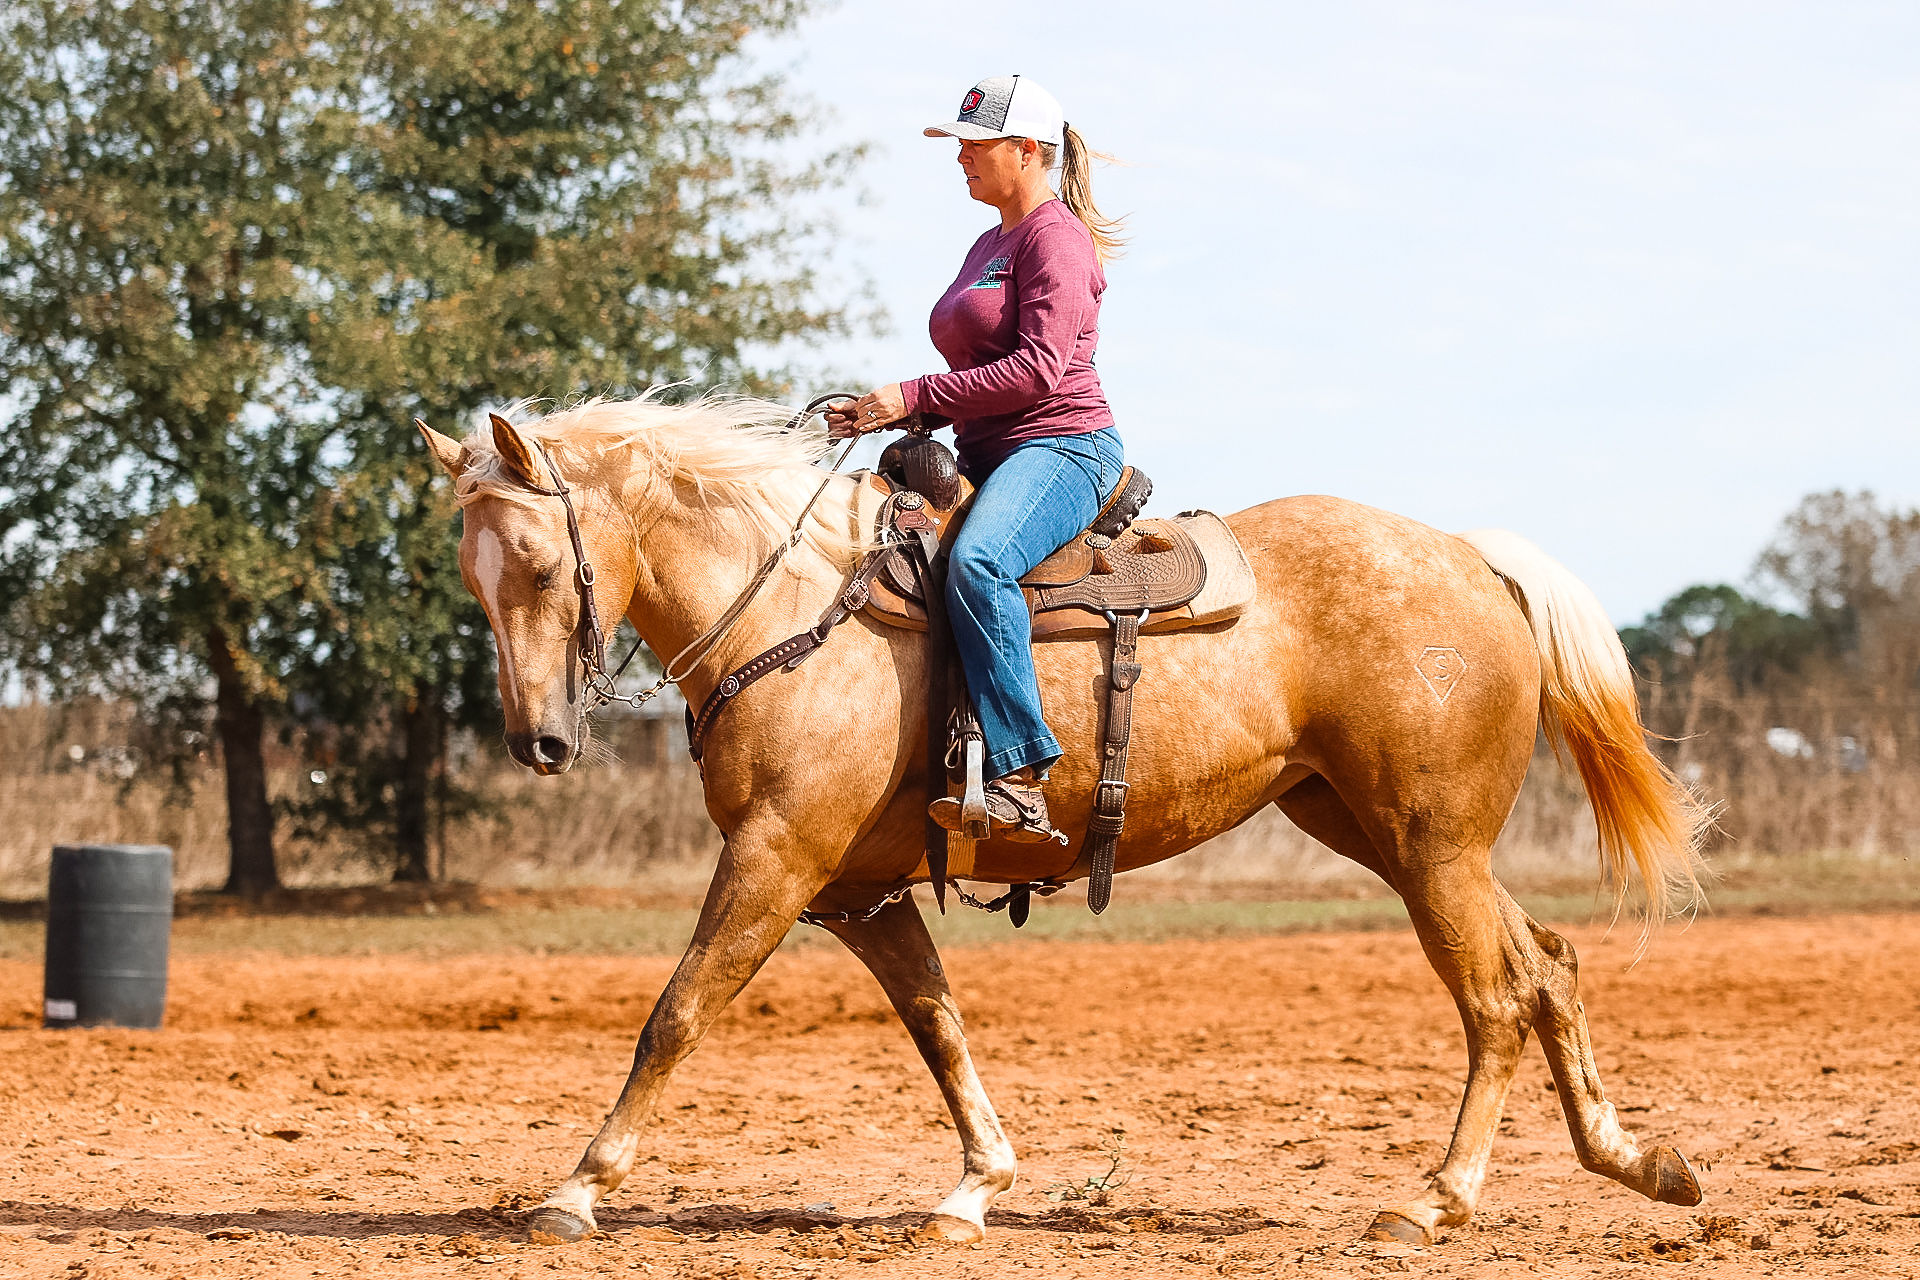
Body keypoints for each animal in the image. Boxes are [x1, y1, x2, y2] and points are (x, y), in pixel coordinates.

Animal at [416, 391, 1711, 1247]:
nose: (540, 740)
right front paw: (973, 1187)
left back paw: (1432, 1198)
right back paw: (1638, 1160)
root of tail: (1473, 559)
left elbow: (674, 1014)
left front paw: (576, 1187)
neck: (795, 609)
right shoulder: (858, 892)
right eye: (472, 574)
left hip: (1429, 843)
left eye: (538, 561)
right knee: (1548, 963)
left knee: (1494, 998)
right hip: (1389, 833)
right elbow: (938, 1027)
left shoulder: (775, 861)